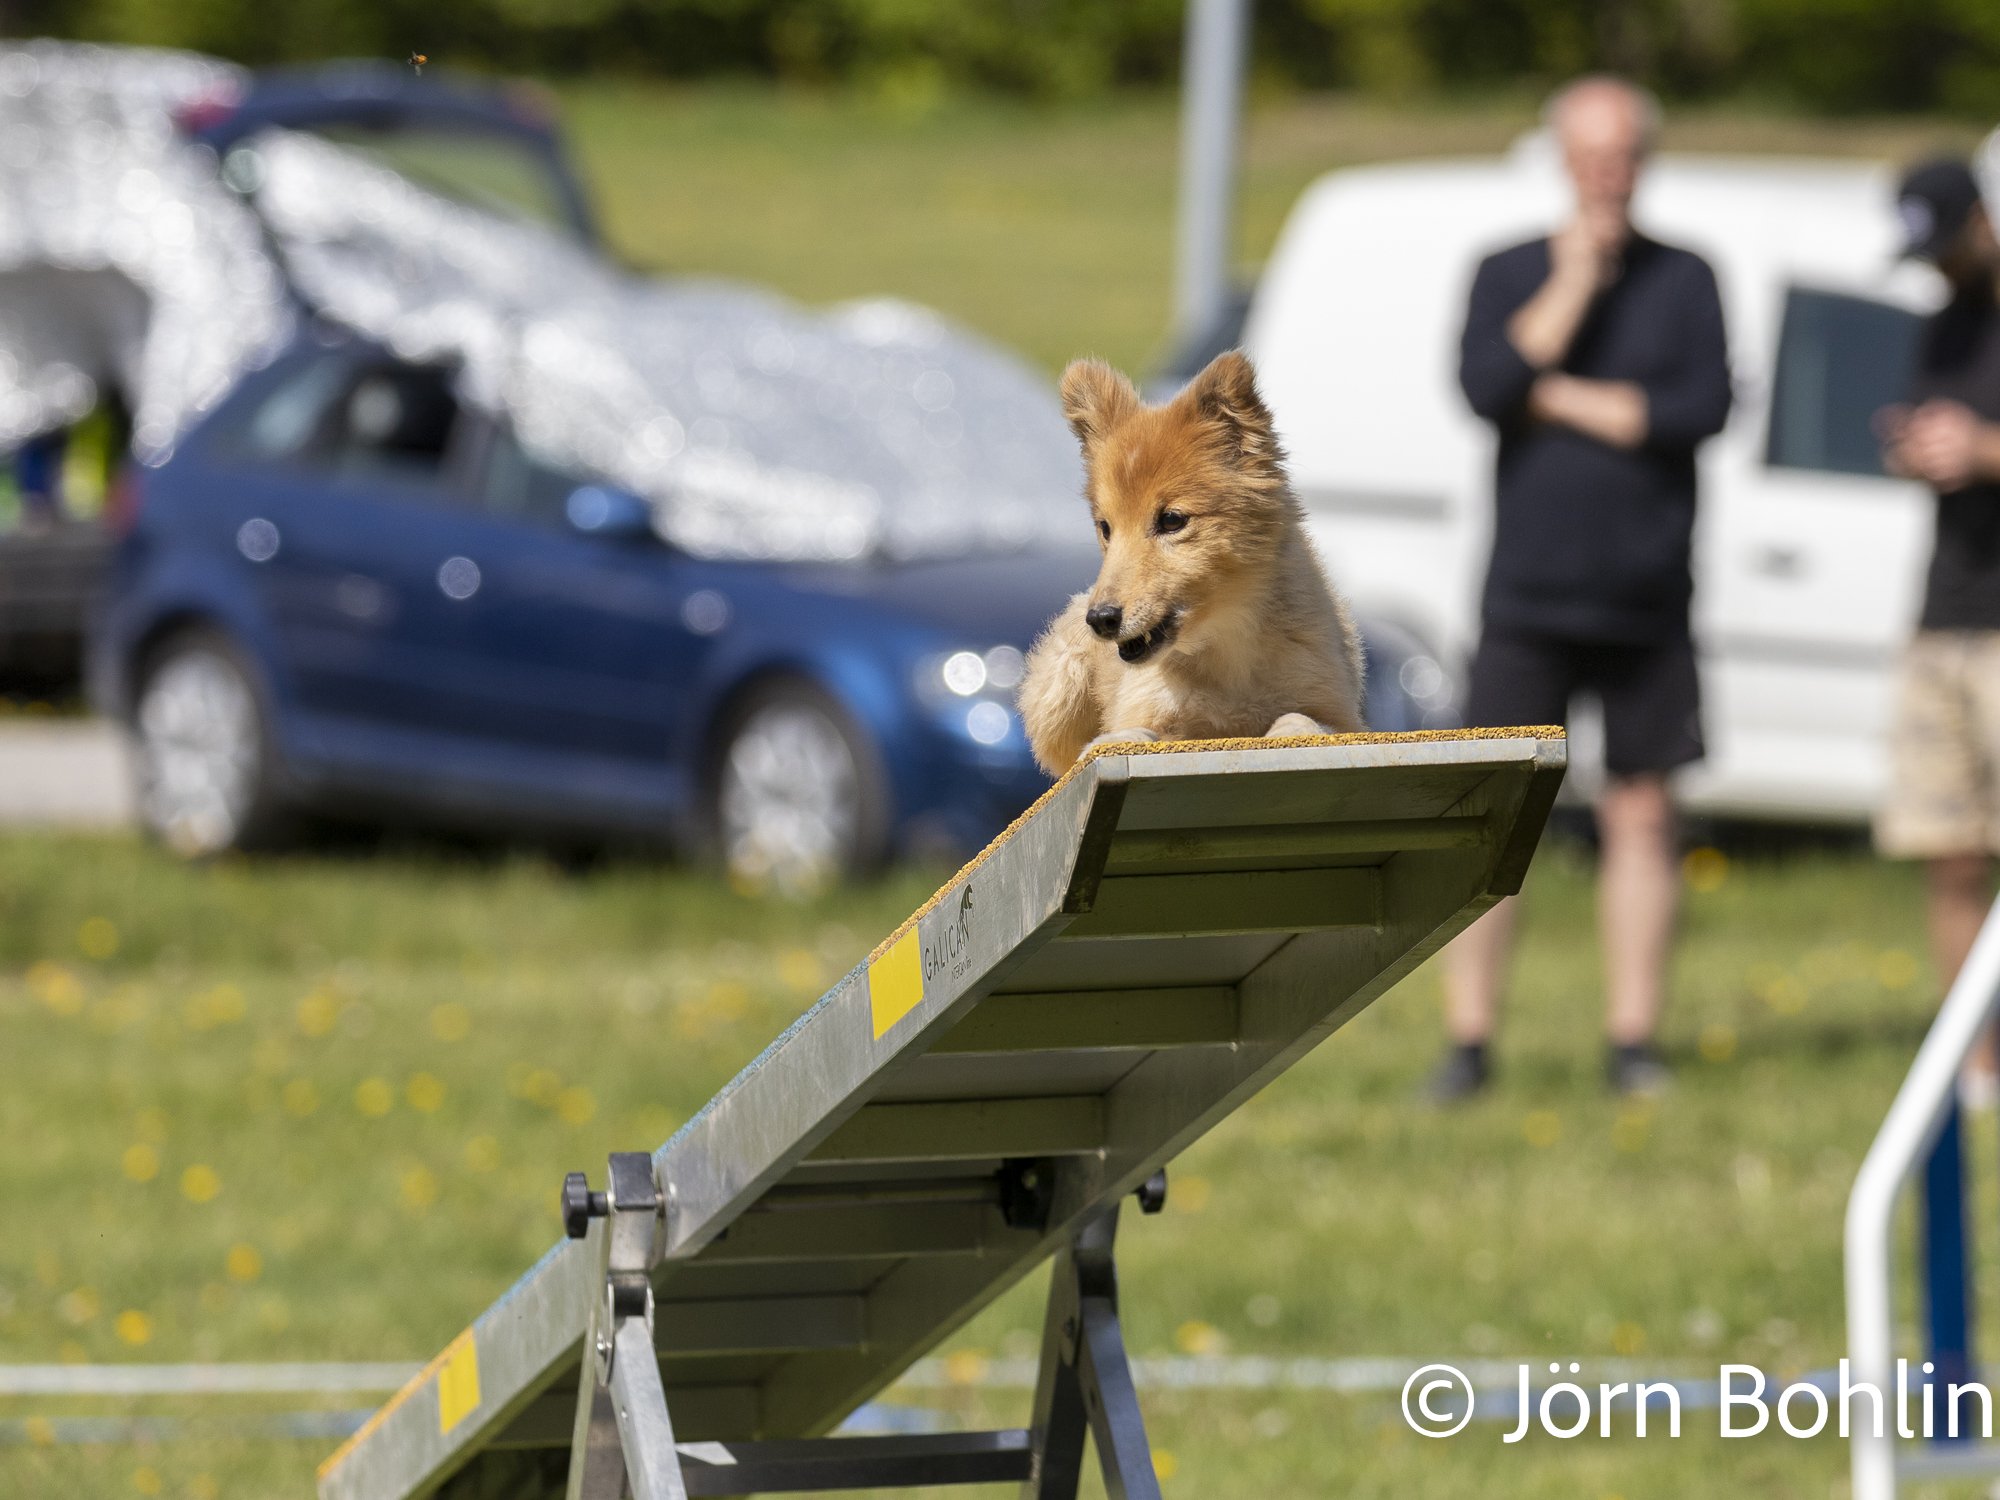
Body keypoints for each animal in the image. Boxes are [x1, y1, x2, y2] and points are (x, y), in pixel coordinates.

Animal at [1024, 352, 1368, 776]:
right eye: (1106, 528)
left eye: (1172, 520)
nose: (1101, 619)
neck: (1224, 645)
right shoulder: (1149, 708)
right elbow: (1134, 734)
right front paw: (1113, 742)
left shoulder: (1340, 711)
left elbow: (1302, 719)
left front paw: (1288, 730)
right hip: (1060, 690)